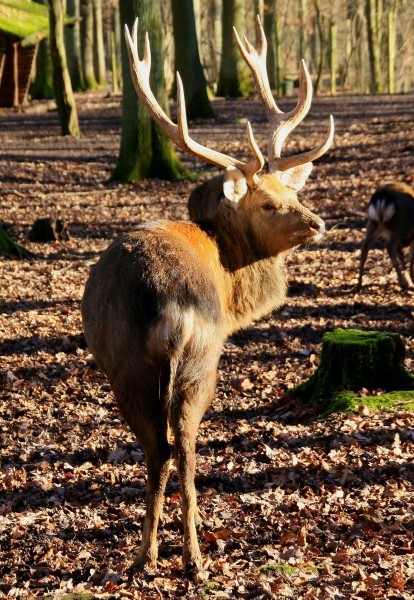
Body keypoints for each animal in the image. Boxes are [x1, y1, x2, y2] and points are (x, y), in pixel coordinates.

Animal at [81, 16, 334, 575]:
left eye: (294, 190)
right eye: (267, 203)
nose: (317, 222)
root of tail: (169, 306)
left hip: (133, 366)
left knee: (160, 448)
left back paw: (151, 555)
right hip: (199, 361)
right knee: (182, 446)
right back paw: (188, 556)